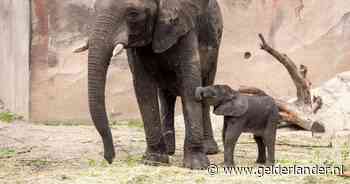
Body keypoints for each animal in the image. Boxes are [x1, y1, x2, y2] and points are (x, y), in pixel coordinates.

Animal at [78, 0, 221, 170]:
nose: (109, 159)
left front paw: (197, 165)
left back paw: (209, 149)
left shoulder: (184, 29)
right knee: (166, 96)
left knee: (205, 89)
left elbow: (190, 84)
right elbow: (143, 87)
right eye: (95, 9)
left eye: (133, 14)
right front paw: (153, 161)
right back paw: (170, 150)